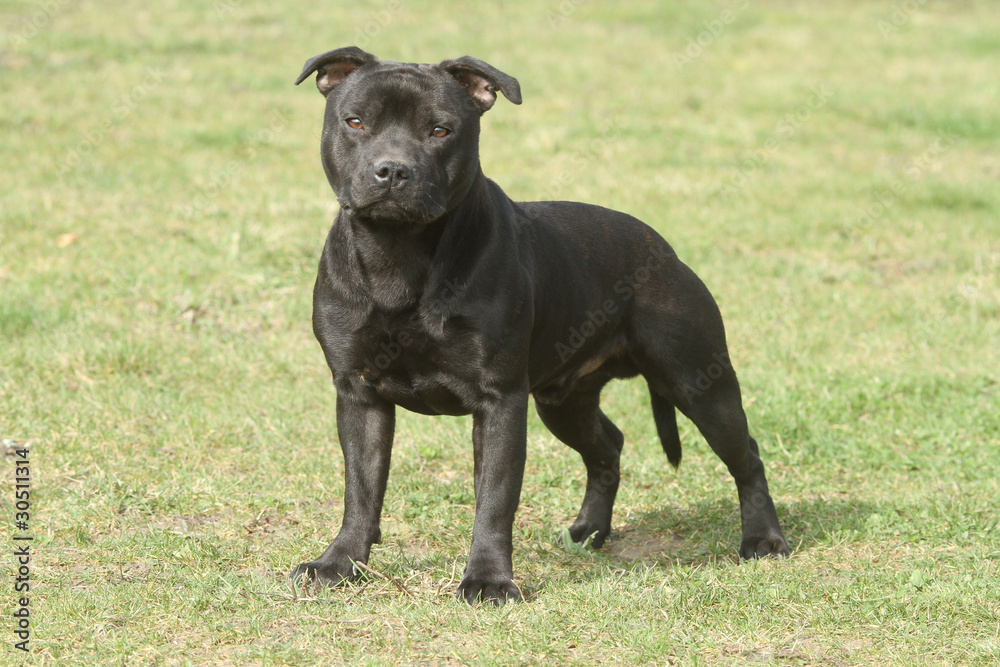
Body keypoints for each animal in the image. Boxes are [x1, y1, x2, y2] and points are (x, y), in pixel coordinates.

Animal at [290, 48, 788, 604]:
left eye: (440, 130)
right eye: (355, 122)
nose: (393, 170)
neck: (398, 255)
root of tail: (663, 247)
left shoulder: (500, 400)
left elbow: (494, 500)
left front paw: (488, 579)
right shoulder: (359, 394)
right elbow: (361, 489)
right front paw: (339, 563)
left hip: (699, 384)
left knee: (746, 456)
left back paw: (764, 539)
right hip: (564, 400)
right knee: (607, 446)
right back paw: (589, 531)